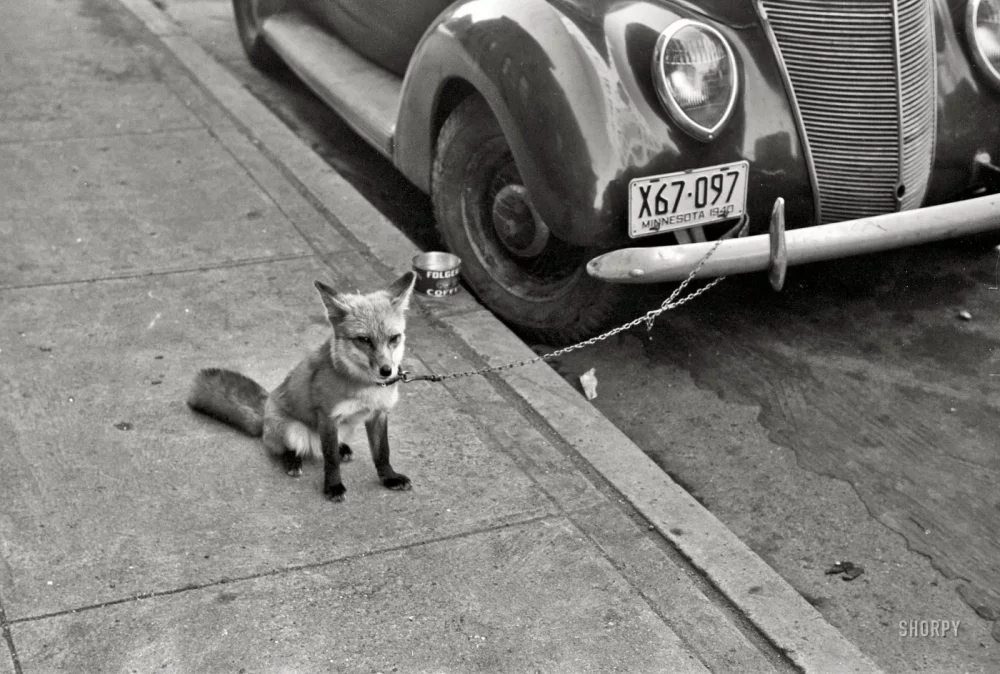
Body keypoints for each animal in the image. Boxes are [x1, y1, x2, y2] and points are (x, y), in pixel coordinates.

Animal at [186, 272, 417, 502]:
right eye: (364, 340)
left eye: (394, 338)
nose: (387, 371)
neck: (367, 388)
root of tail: (265, 414)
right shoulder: (327, 416)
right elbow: (331, 459)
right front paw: (333, 486)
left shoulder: (378, 414)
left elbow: (382, 452)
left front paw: (389, 478)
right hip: (292, 429)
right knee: (288, 449)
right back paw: (292, 460)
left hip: (344, 427)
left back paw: (342, 448)